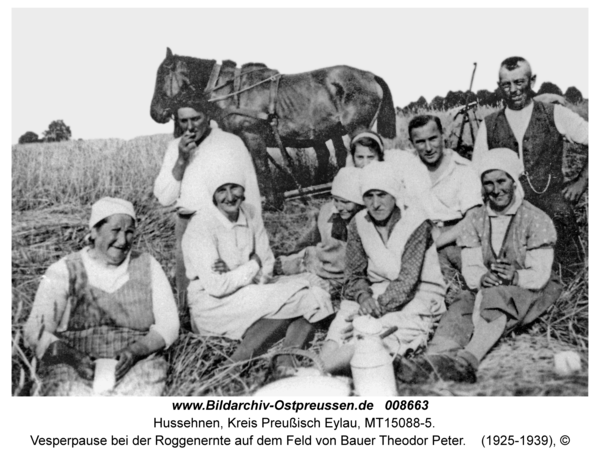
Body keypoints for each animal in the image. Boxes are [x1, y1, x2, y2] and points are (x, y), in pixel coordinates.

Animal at [150, 47, 396, 208]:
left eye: (161, 76)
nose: (154, 113)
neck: (231, 91)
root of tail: (370, 75)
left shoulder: (253, 136)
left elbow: (261, 168)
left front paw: (271, 203)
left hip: (358, 127)